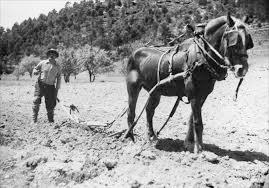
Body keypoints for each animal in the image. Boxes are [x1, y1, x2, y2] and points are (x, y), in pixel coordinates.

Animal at [124, 13, 252, 153]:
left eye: (248, 42)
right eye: (234, 41)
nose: (242, 69)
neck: (202, 56)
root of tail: (134, 53)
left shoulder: (203, 95)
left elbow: (192, 119)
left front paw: (189, 143)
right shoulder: (193, 93)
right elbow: (198, 121)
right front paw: (199, 149)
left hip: (155, 92)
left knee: (149, 111)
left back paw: (151, 136)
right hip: (133, 87)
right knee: (131, 112)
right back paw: (131, 139)